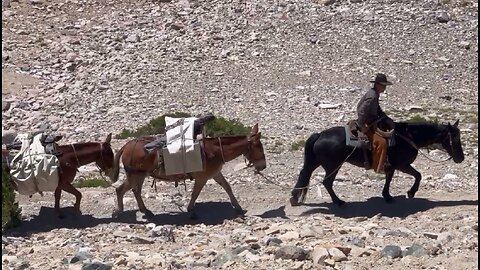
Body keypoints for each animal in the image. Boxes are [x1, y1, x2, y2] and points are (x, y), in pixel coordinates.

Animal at [288, 119, 464, 206]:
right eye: (455, 138)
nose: (460, 158)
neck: (408, 136)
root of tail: (320, 135)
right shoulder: (401, 164)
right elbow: (415, 176)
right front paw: (405, 193)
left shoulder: (397, 166)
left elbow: (409, 176)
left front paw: (395, 194)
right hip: (333, 165)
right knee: (327, 182)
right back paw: (338, 202)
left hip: (317, 163)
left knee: (305, 175)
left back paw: (295, 198)